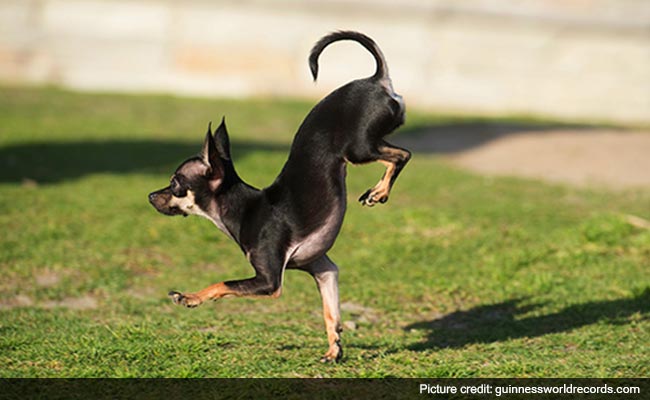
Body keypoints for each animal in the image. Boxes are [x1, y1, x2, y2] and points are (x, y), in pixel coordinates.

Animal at [149, 31, 408, 362]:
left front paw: (189, 297)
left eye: (175, 183)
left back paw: (378, 191)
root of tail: (376, 80)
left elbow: (222, 282)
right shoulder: (323, 269)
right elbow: (331, 314)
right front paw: (334, 349)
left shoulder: (269, 282)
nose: (151, 196)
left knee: (402, 155)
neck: (243, 208)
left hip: (359, 149)